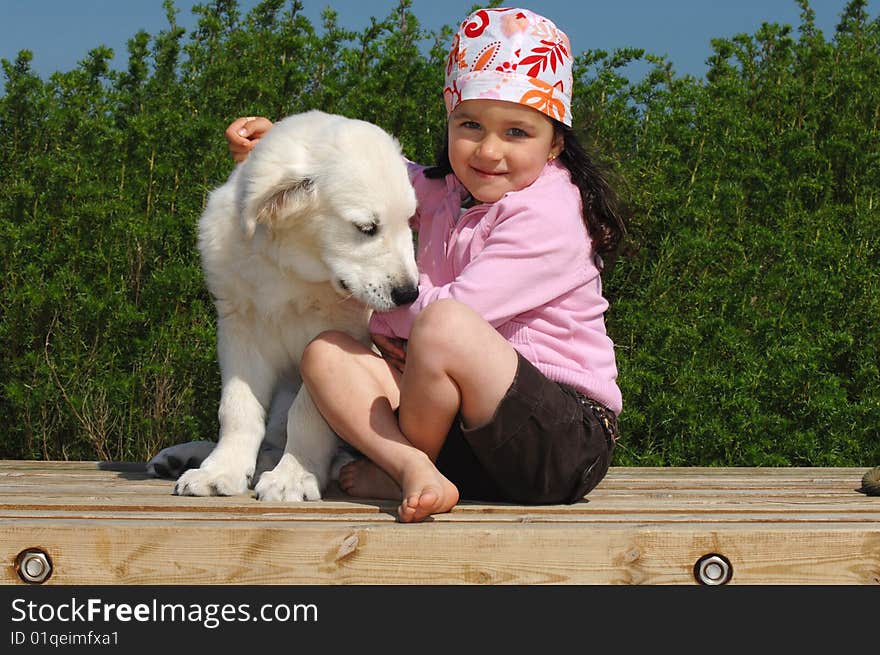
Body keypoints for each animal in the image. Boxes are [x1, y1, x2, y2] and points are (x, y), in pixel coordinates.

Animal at [146, 111, 418, 502]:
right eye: (366, 228)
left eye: (409, 221)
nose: (410, 294)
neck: (290, 270)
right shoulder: (240, 330)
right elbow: (237, 408)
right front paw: (221, 470)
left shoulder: (335, 337)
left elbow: (307, 414)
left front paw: (294, 476)